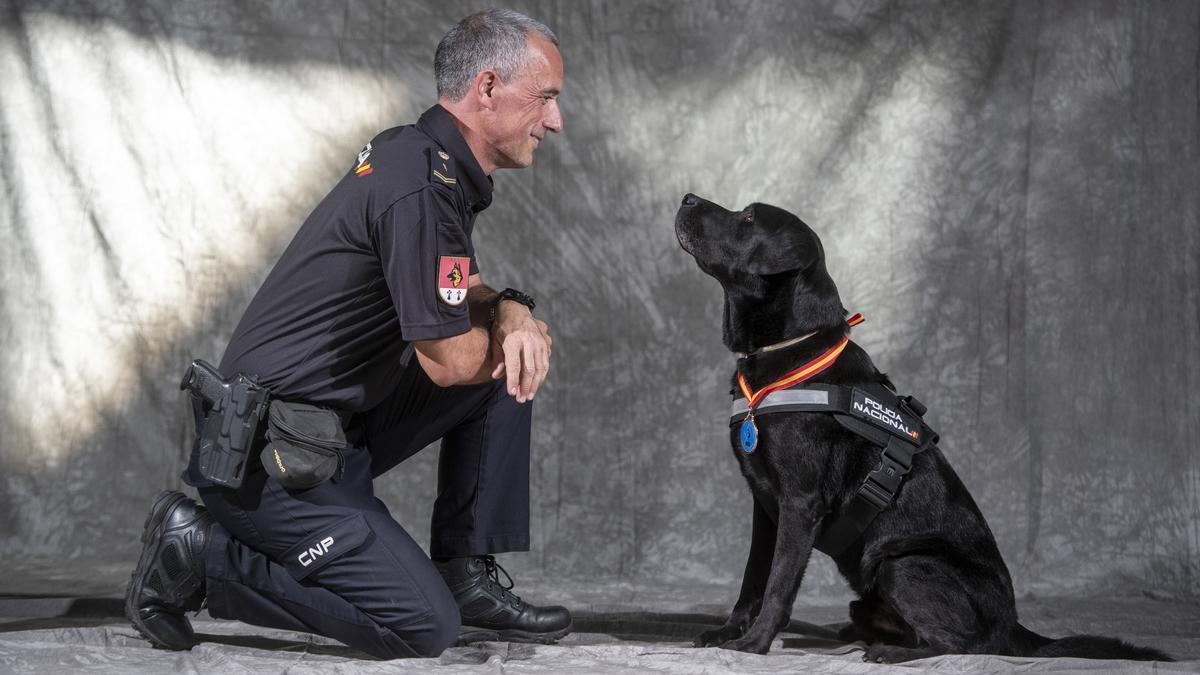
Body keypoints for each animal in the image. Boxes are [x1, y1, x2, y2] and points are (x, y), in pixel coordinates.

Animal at [676, 192, 1171, 658]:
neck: (789, 350)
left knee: (962, 647)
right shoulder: (764, 504)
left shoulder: (799, 502)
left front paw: (754, 644)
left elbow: (779, 581)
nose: (687, 198)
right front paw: (728, 632)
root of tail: (1012, 625)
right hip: (872, 590)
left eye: (747, 217)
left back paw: (887, 651)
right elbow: (752, 578)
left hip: (904, 564)